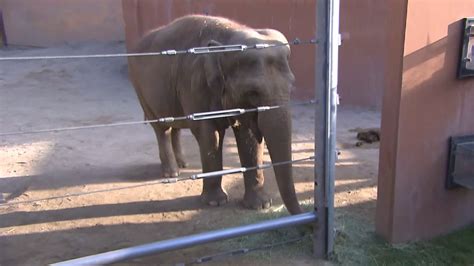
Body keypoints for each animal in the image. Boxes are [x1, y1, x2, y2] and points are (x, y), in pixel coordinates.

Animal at [128, 14, 302, 215]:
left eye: (291, 86)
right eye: (253, 92)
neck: (227, 39)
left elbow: (248, 137)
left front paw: (260, 205)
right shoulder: (195, 85)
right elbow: (210, 135)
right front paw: (215, 202)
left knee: (175, 126)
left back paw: (183, 165)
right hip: (140, 89)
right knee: (161, 128)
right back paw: (172, 173)